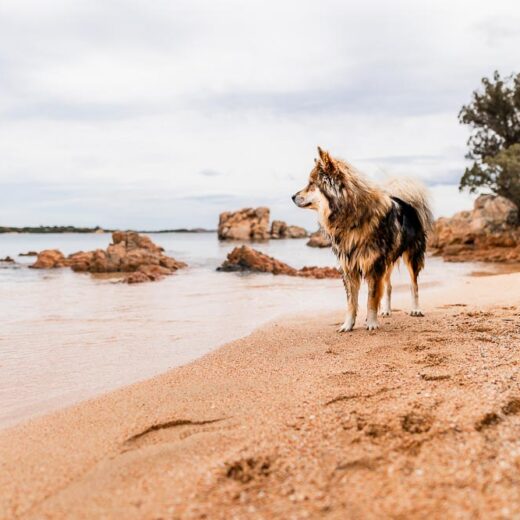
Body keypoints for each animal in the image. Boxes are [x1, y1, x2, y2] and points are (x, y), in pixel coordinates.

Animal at [292, 146, 434, 332]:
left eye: (311, 184)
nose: (292, 196)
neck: (350, 216)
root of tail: (408, 203)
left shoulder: (373, 264)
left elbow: (371, 298)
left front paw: (372, 323)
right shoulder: (349, 266)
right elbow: (351, 302)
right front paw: (347, 325)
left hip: (411, 256)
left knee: (413, 285)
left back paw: (416, 309)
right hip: (388, 259)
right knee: (388, 286)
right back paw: (386, 310)